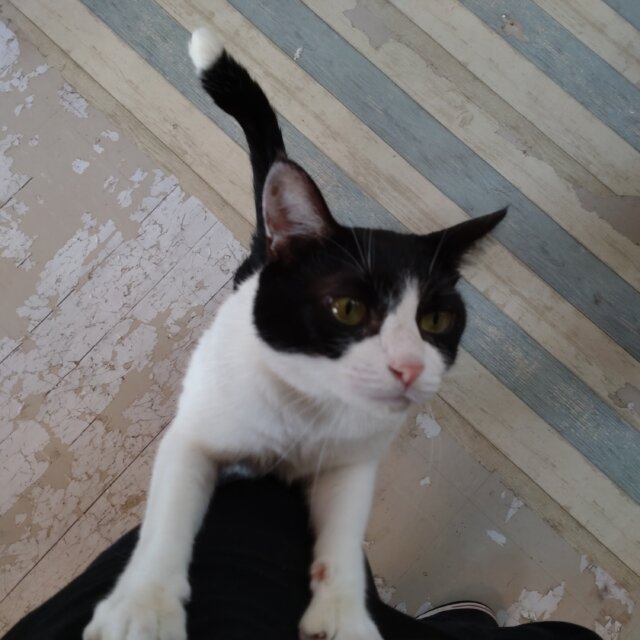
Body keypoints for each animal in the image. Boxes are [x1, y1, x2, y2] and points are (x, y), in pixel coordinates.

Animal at [84, 26, 506, 640]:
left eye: (435, 321)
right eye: (348, 308)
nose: (409, 367)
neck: (307, 411)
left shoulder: (353, 462)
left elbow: (346, 534)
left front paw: (345, 615)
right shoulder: (198, 432)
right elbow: (171, 511)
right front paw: (143, 606)